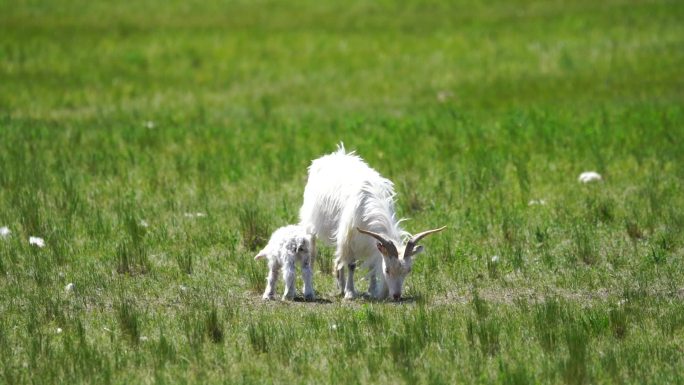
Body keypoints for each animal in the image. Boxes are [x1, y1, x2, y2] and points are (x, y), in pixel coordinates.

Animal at [300, 144, 444, 300]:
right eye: (387, 270)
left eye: (408, 270)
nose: (396, 296)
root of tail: (331, 156)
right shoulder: (349, 238)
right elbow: (351, 265)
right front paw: (350, 293)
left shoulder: (369, 243)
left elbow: (372, 267)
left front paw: (372, 291)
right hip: (311, 223)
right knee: (313, 254)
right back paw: (311, 289)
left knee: (339, 259)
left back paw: (341, 287)